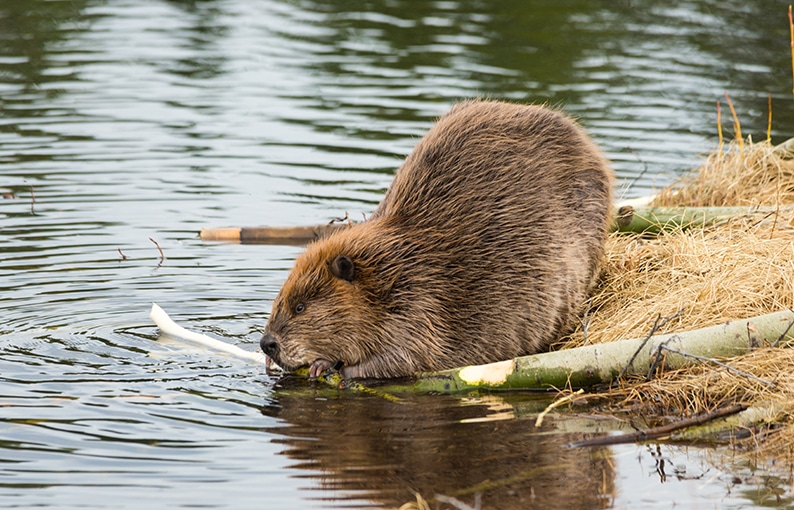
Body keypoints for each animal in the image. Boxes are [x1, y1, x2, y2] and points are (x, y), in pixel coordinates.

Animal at [260, 100, 612, 378]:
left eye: (301, 306)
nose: (267, 344)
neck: (390, 268)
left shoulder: (420, 302)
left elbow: (405, 357)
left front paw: (329, 367)